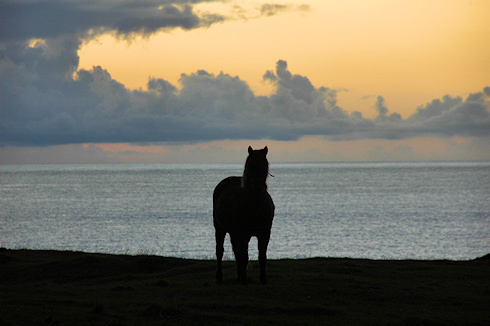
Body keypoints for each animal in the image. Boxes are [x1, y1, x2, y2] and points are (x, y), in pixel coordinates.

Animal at [213, 146, 276, 284]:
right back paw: (220, 277)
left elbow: (262, 257)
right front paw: (244, 281)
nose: (258, 188)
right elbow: (245, 257)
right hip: (219, 229)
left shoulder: (264, 233)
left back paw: (239, 277)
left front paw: (263, 280)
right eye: (250, 166)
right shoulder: (243, 235)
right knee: (220, 251)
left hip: (233, 233)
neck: (254, 204)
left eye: (265, 165)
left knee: (237, 253)